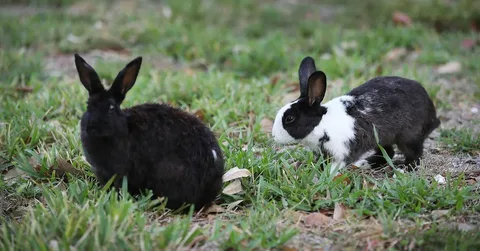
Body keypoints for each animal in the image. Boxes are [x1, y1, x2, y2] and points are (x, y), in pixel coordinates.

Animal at [272, 56, 440, 175]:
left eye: (289, 118)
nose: (274, 136)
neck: (322, 124)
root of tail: (433, 115)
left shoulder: (342, 152)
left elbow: (335, 166)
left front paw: (325, 177)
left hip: (409, 137)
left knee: (415, 155)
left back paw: (403, 168)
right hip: (381, 138)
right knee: (388, 152)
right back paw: (364, 164)